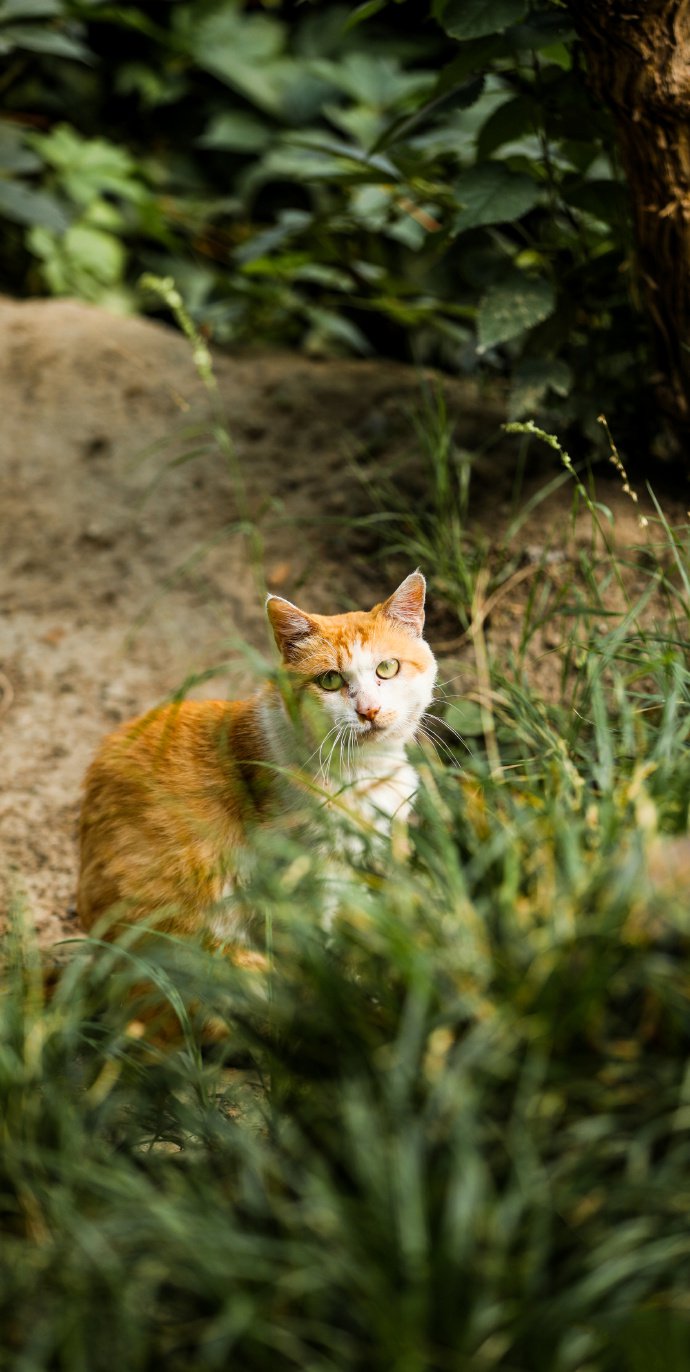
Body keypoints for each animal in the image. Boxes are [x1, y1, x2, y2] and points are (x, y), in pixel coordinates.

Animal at [78, 570, 436, 954]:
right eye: (330, 680)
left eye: (387, 667)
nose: (369, 710)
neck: (365, 769)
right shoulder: (308, 868)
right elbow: (319, 932)